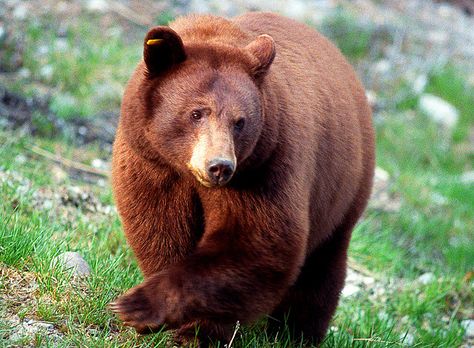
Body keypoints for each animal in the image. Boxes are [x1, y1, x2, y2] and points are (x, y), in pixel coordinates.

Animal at [109, 10, 376, 346]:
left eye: (240, 122)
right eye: (196, 113)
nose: (219, 166)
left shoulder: (266, 166)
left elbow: (256, 244)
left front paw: (157, 313)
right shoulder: (151, 163)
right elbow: (160, 229)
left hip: (342, 188)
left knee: (320, 269)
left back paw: (295, 333)